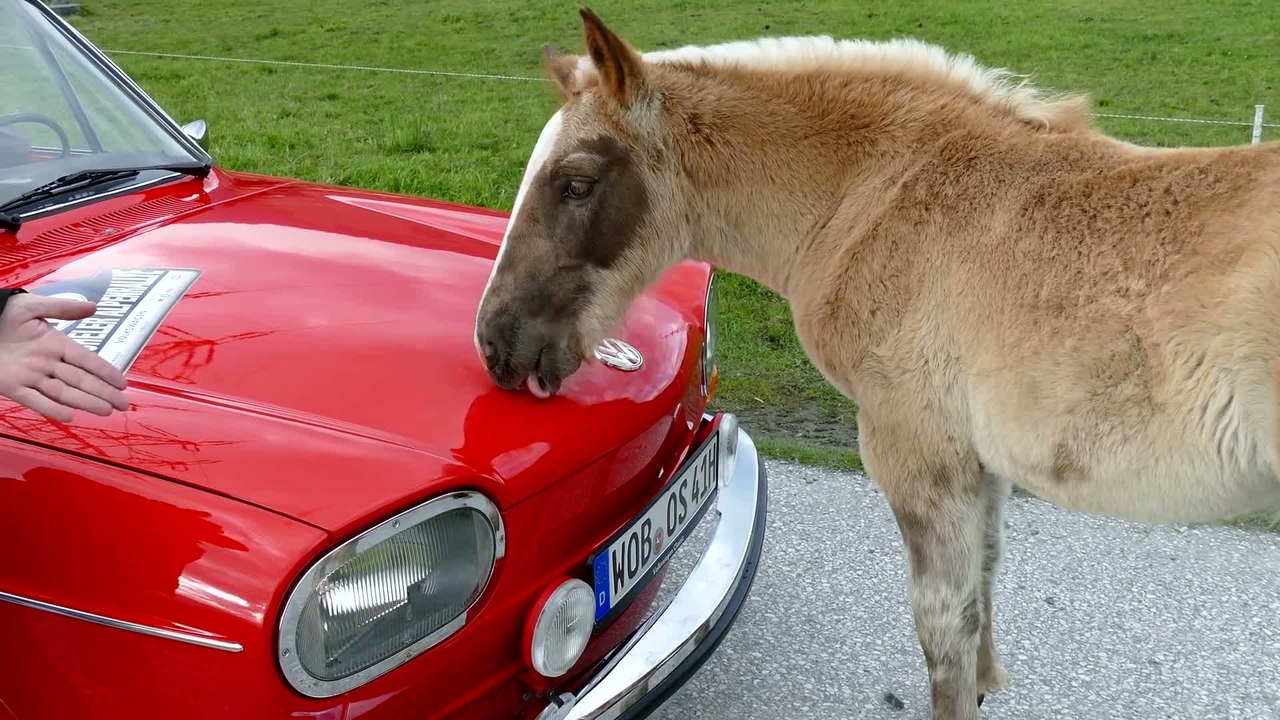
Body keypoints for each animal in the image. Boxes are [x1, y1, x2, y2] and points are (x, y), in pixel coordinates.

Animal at [472, 8, 1280, 719]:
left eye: (576, 183)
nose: (497, 344)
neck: (879, 195)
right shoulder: (975, 461)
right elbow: (986, 580)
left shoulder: (916, 452)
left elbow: (944, 628)